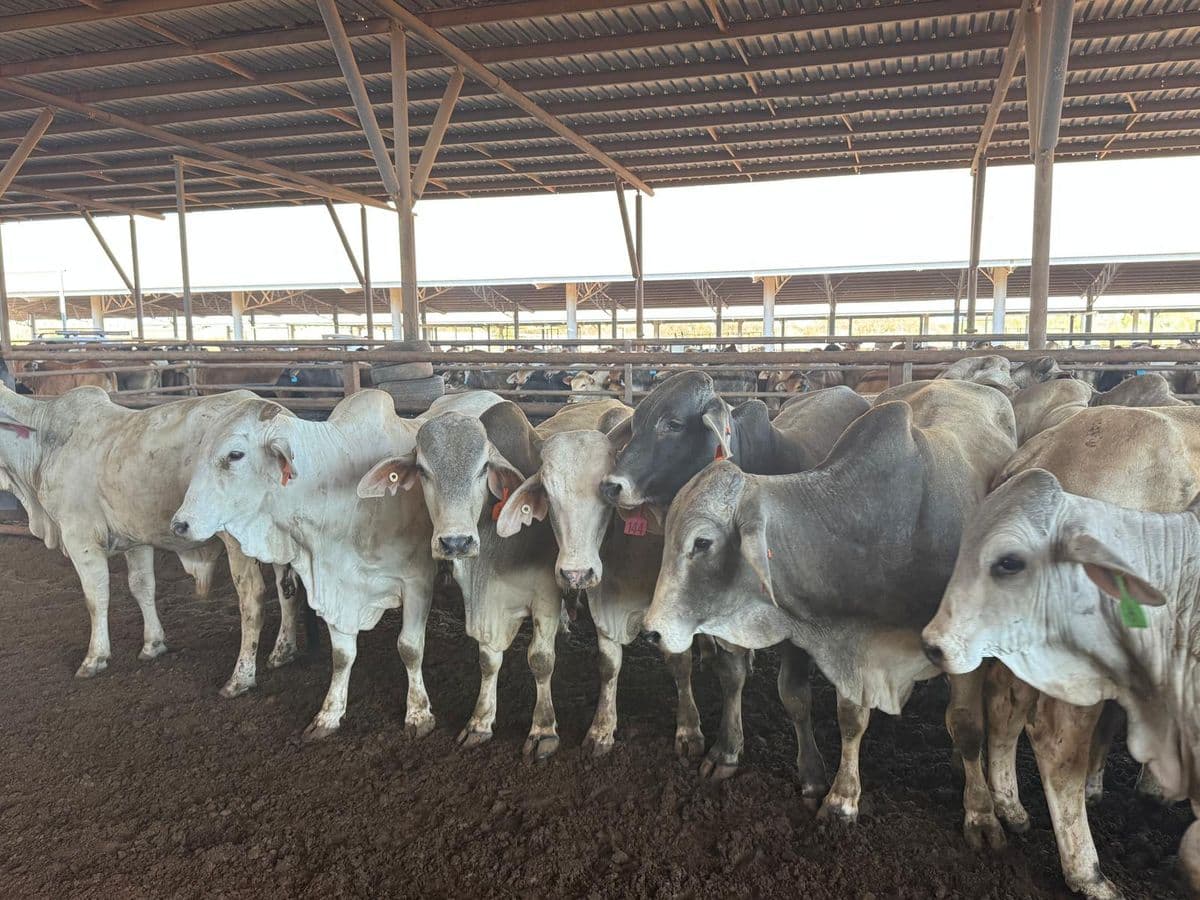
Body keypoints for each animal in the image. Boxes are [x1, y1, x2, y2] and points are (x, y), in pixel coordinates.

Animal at [0, 385, 301, 695]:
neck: (46, 440)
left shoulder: (80, 537)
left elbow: (96, 597)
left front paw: (94, 658)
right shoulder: (136, 539)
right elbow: (142, 586)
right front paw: (153, 644)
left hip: (238, 540)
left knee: (252, 598)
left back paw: (240, 678)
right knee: (287, 589)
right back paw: (282, 652)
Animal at [171, 389, 504, 741]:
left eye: (235, 454)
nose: (180, 524)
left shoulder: (417, 582)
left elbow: (410, 648)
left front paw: (418, 713)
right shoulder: (336, 583)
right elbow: (343, 655)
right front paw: (329, 713)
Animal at [357, 399, 629, 760]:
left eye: (482, 469)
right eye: (424, 471)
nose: (456, 542)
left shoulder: (545, 595)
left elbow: (541, 660)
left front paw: (543, 729)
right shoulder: (482, 599)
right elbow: (488, 660)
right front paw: (480, 722)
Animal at [598, 371, 869, 792]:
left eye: (672, 424)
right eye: (637, 423)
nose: (611, 486)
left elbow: (793, 694)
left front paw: (811, 774)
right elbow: (731, 677)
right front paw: (725, 751)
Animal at [642, 379, 1014, 849]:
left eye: (702, 542)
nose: (652, 631)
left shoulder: (964, 650)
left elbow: (966, 725)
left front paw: (980, 814)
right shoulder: (852, 645)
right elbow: (850, 718)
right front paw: (841, 799)